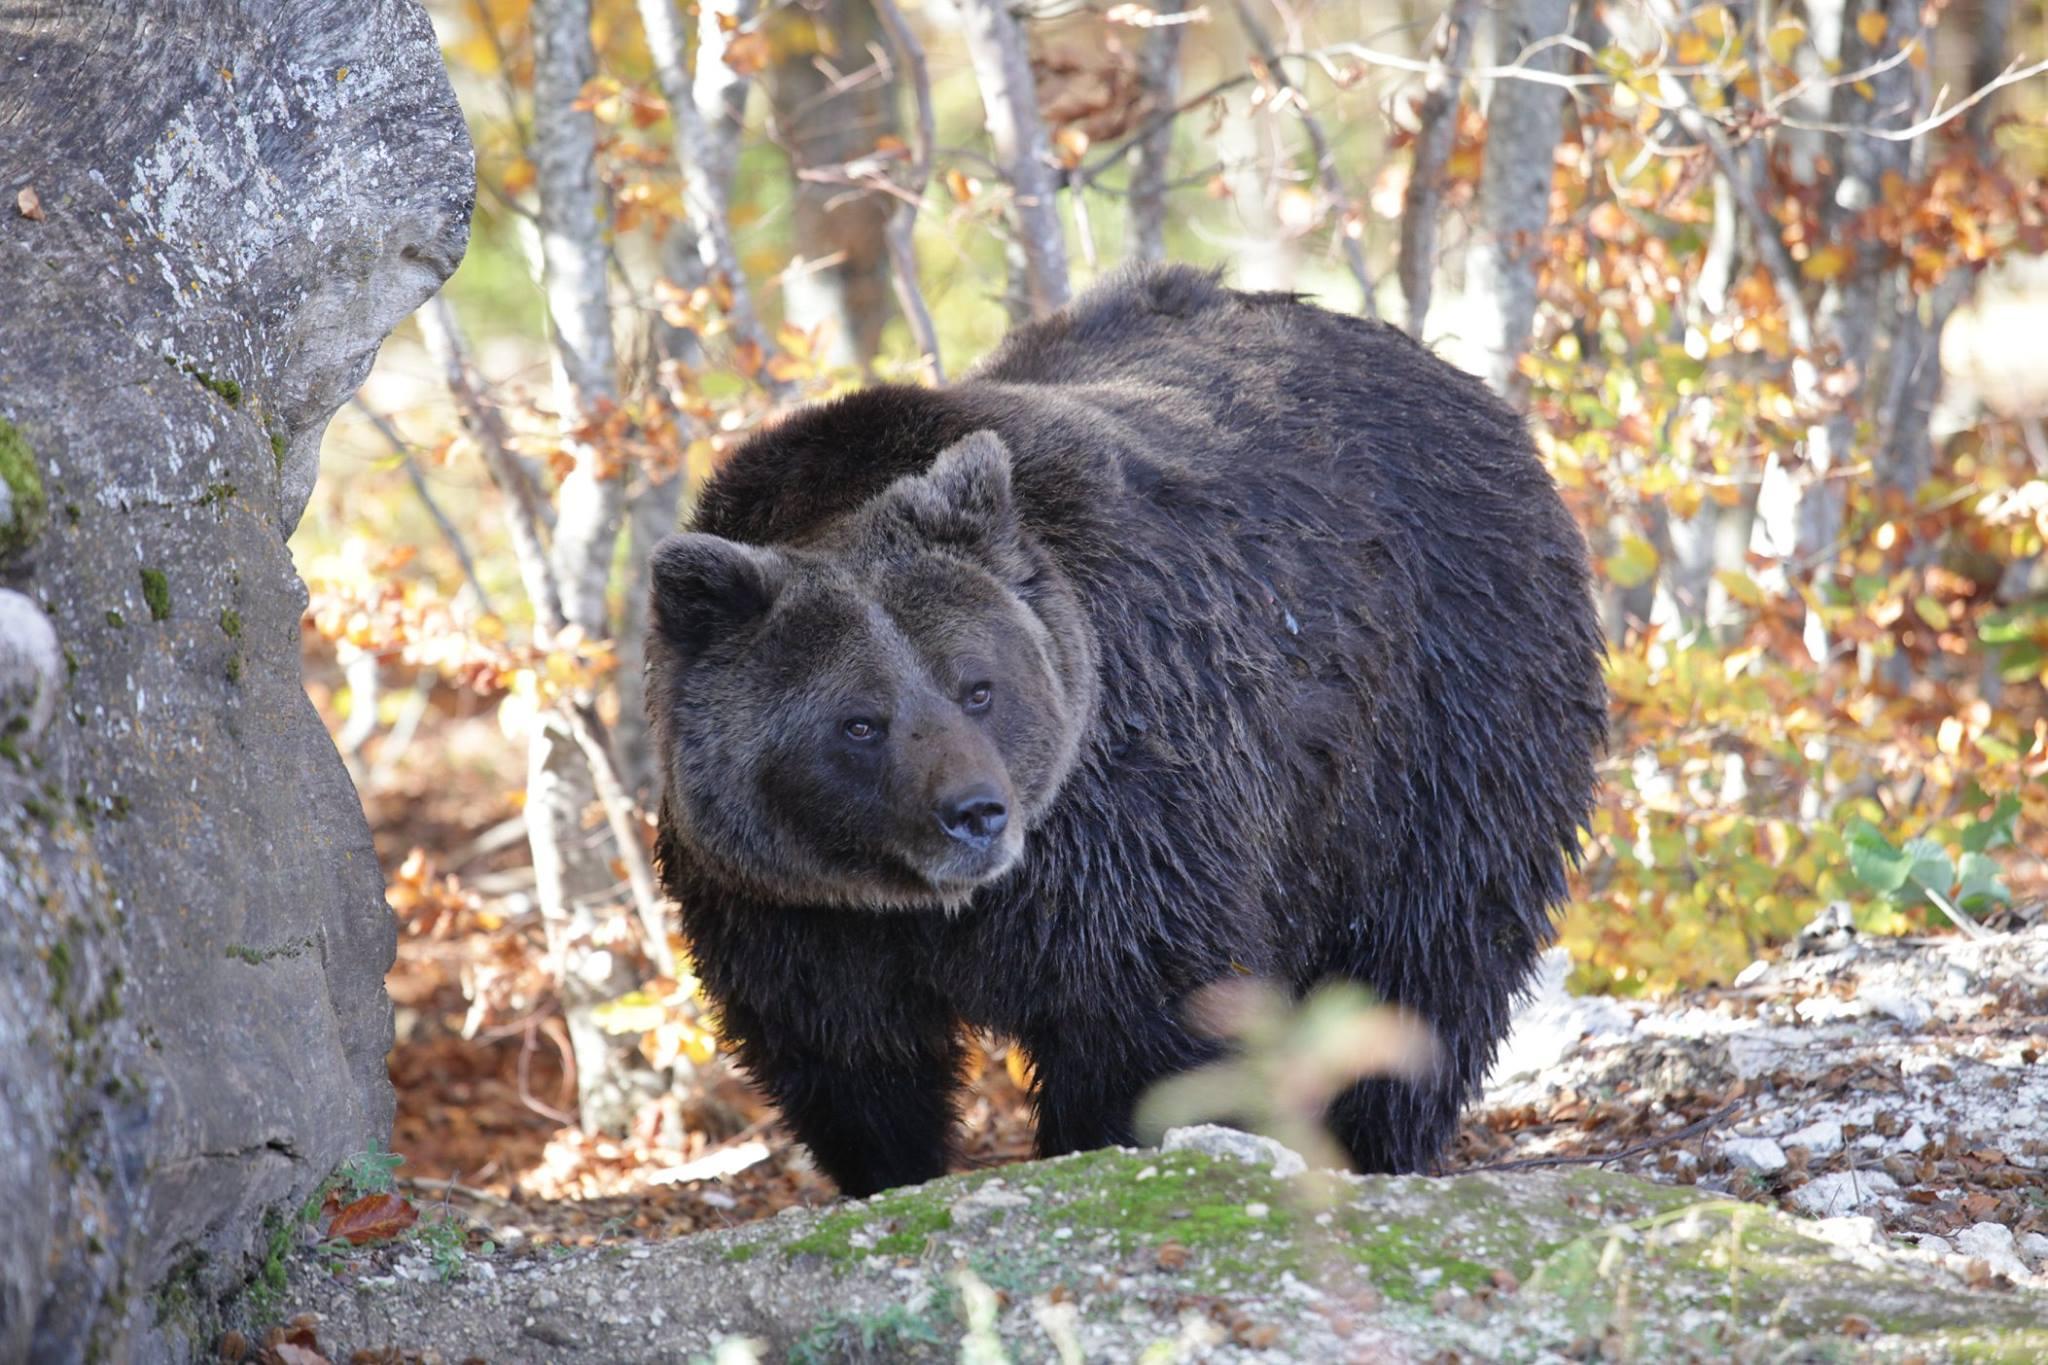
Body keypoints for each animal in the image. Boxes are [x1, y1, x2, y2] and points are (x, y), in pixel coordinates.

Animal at [647, 263, 1605, 1195]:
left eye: (978, 686)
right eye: (860, 721)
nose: (975, 811)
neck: (931, 907)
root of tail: (1465, 389)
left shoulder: (1121, 815)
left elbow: (1144, 1013)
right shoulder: (789, 910)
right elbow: (847, 1059)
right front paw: (892, 1168)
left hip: (1438, 719)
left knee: (1423, 954)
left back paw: (1370, 1139)